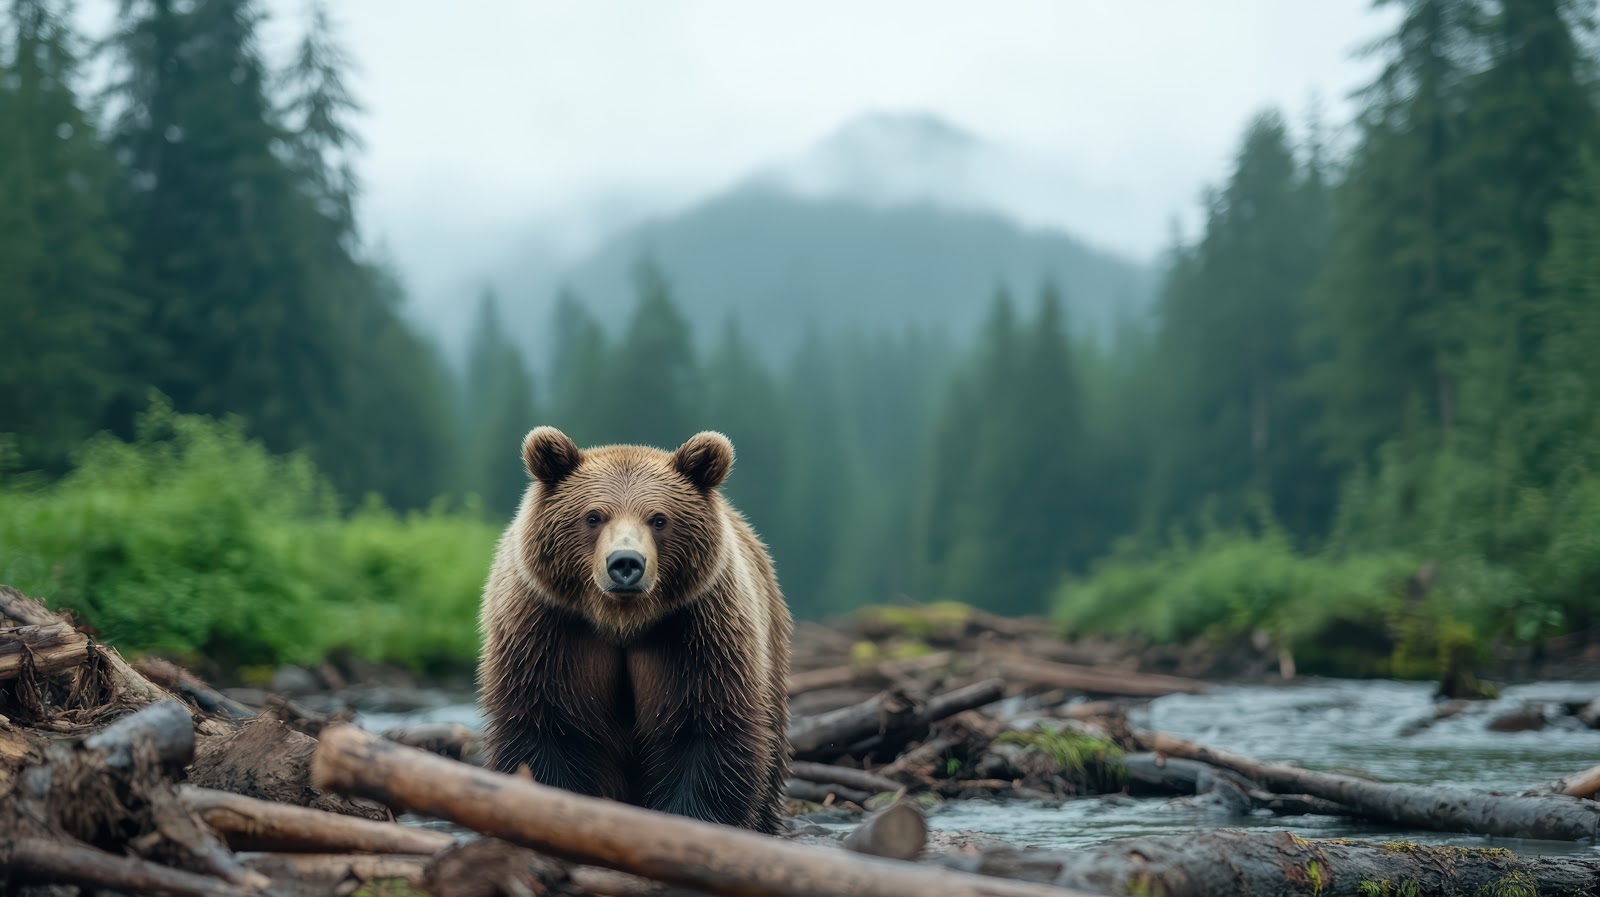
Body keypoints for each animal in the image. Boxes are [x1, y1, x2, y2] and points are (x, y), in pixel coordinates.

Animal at [476, 426, 793, 834]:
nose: (625, 563)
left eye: (658, 519)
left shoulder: (697, 632)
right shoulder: (548, 630)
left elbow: (705, 729)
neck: (620, 622)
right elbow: (546, 728)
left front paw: (691, 819)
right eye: (593, 516)